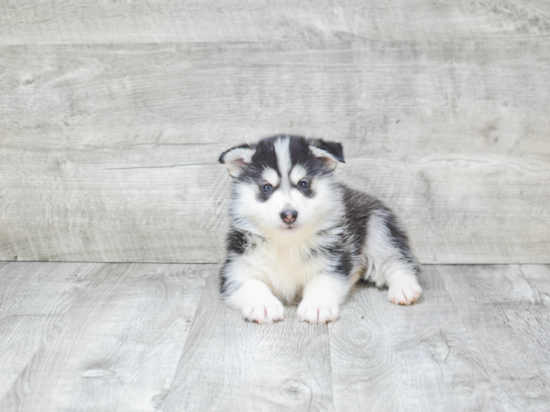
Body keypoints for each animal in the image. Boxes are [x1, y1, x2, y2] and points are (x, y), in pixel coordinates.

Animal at [219, 135, 422, 326]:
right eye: (266, 187)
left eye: (303, 184)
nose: (289, 215)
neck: (287, 243)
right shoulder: (235, 268)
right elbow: (250, 284)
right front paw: (263, 305)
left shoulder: (335, 261)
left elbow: (322, 282)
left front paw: (316, 306)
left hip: (377, 228)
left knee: (395, 261)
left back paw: (404, 288)